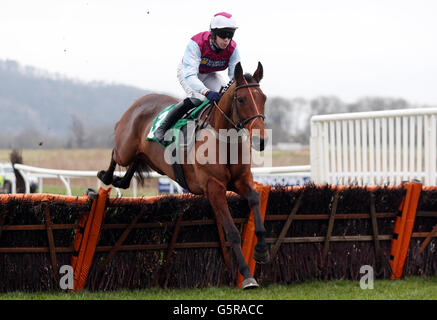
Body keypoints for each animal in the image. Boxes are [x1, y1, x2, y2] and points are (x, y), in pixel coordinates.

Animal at [98, 61, 270, 288]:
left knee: (136, 161)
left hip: (148, 157)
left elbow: (255, 199)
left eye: (263, 98)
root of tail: (139, 101)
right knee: (115, 154)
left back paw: (121, 180)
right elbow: (232, 232)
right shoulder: (213, 186)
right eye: (241, 99)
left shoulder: (242, 180)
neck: (224, 139)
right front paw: (248, 276)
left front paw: (261, 250)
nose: (260, 140)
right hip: (125, 149)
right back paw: (107, 176)